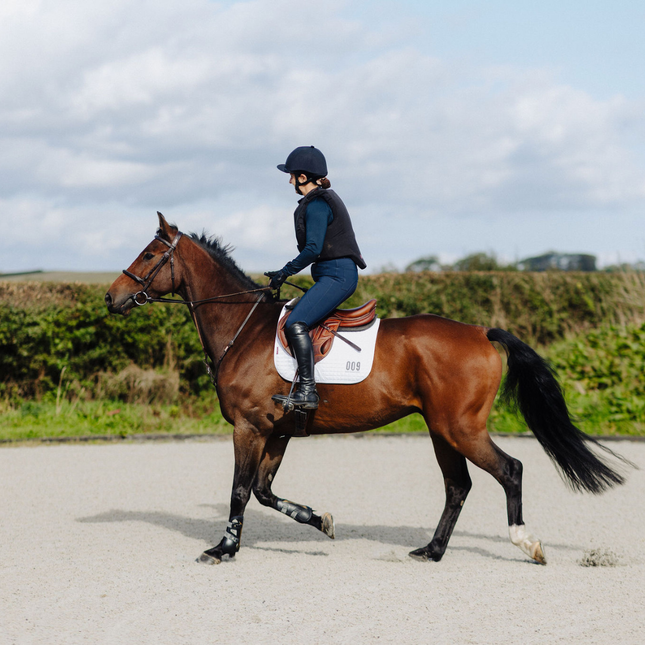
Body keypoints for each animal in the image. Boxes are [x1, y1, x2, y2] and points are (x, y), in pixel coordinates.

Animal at [105, 212, 626, 566]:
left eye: (149, 255)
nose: (110, 298)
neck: (243, 329)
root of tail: (480, 331)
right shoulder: (277, 432)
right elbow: (263, 492)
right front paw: (320, 520)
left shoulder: (249, 429)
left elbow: (239, 490)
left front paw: (223, 548)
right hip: (441, 429)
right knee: (457, 486)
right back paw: (431, 550)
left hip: (459, 427)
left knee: (510, 469)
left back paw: (525, 542)